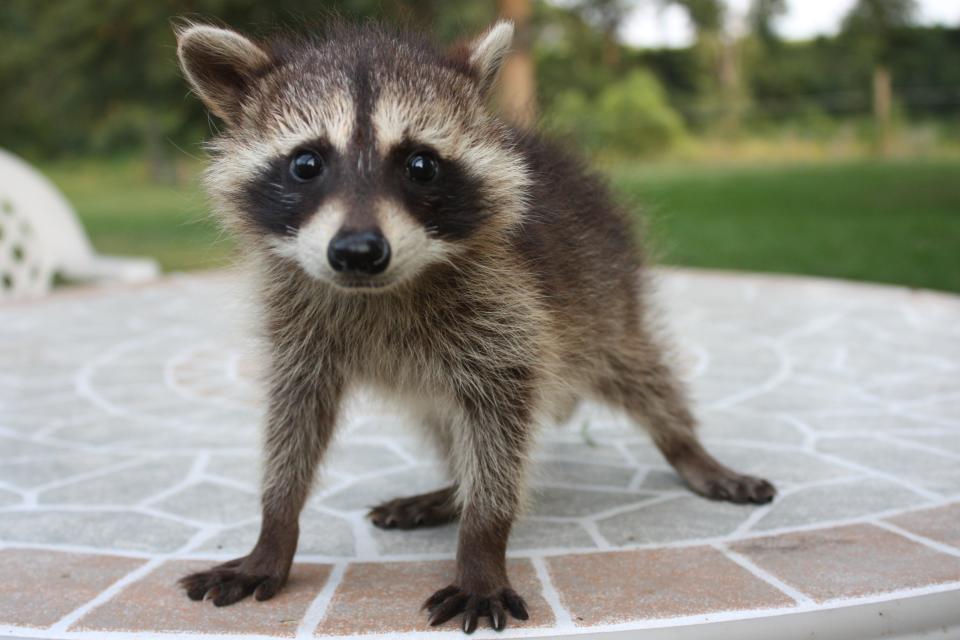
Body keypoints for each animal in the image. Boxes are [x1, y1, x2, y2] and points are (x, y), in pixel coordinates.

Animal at [172, 20, 772, 636]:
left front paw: (482, 544)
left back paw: (686, 447)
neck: (378, 291)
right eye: (306, 164)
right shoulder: (298, 330)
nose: (359, 251)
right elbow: (294, 420)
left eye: (420, 165)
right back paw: (451, 490)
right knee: (444, 422)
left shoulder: (507, 314)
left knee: (642, 377)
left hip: (606, 300)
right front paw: (274, 528)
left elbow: (500, 428)